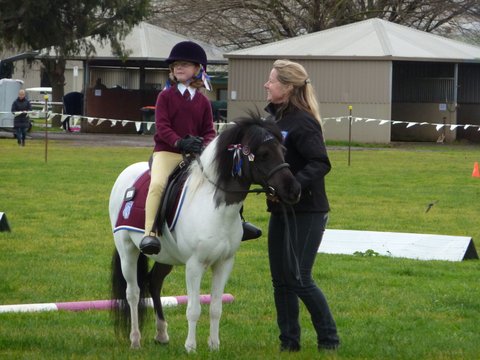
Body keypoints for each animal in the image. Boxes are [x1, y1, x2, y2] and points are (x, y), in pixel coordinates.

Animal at [110, 114, 302, 352]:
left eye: (282, 150)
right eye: (264, 154)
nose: (293, 190)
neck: (215, 210)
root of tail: (125, 175)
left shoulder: (224, 263)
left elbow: (215, 307)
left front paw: (214, 345)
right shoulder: (194, 265)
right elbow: (193, 309)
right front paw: (191, 347)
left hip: (166, 256)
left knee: (154, 283)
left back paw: (162, 334)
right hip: (127, 251)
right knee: (133, 293)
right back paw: (135, 340)